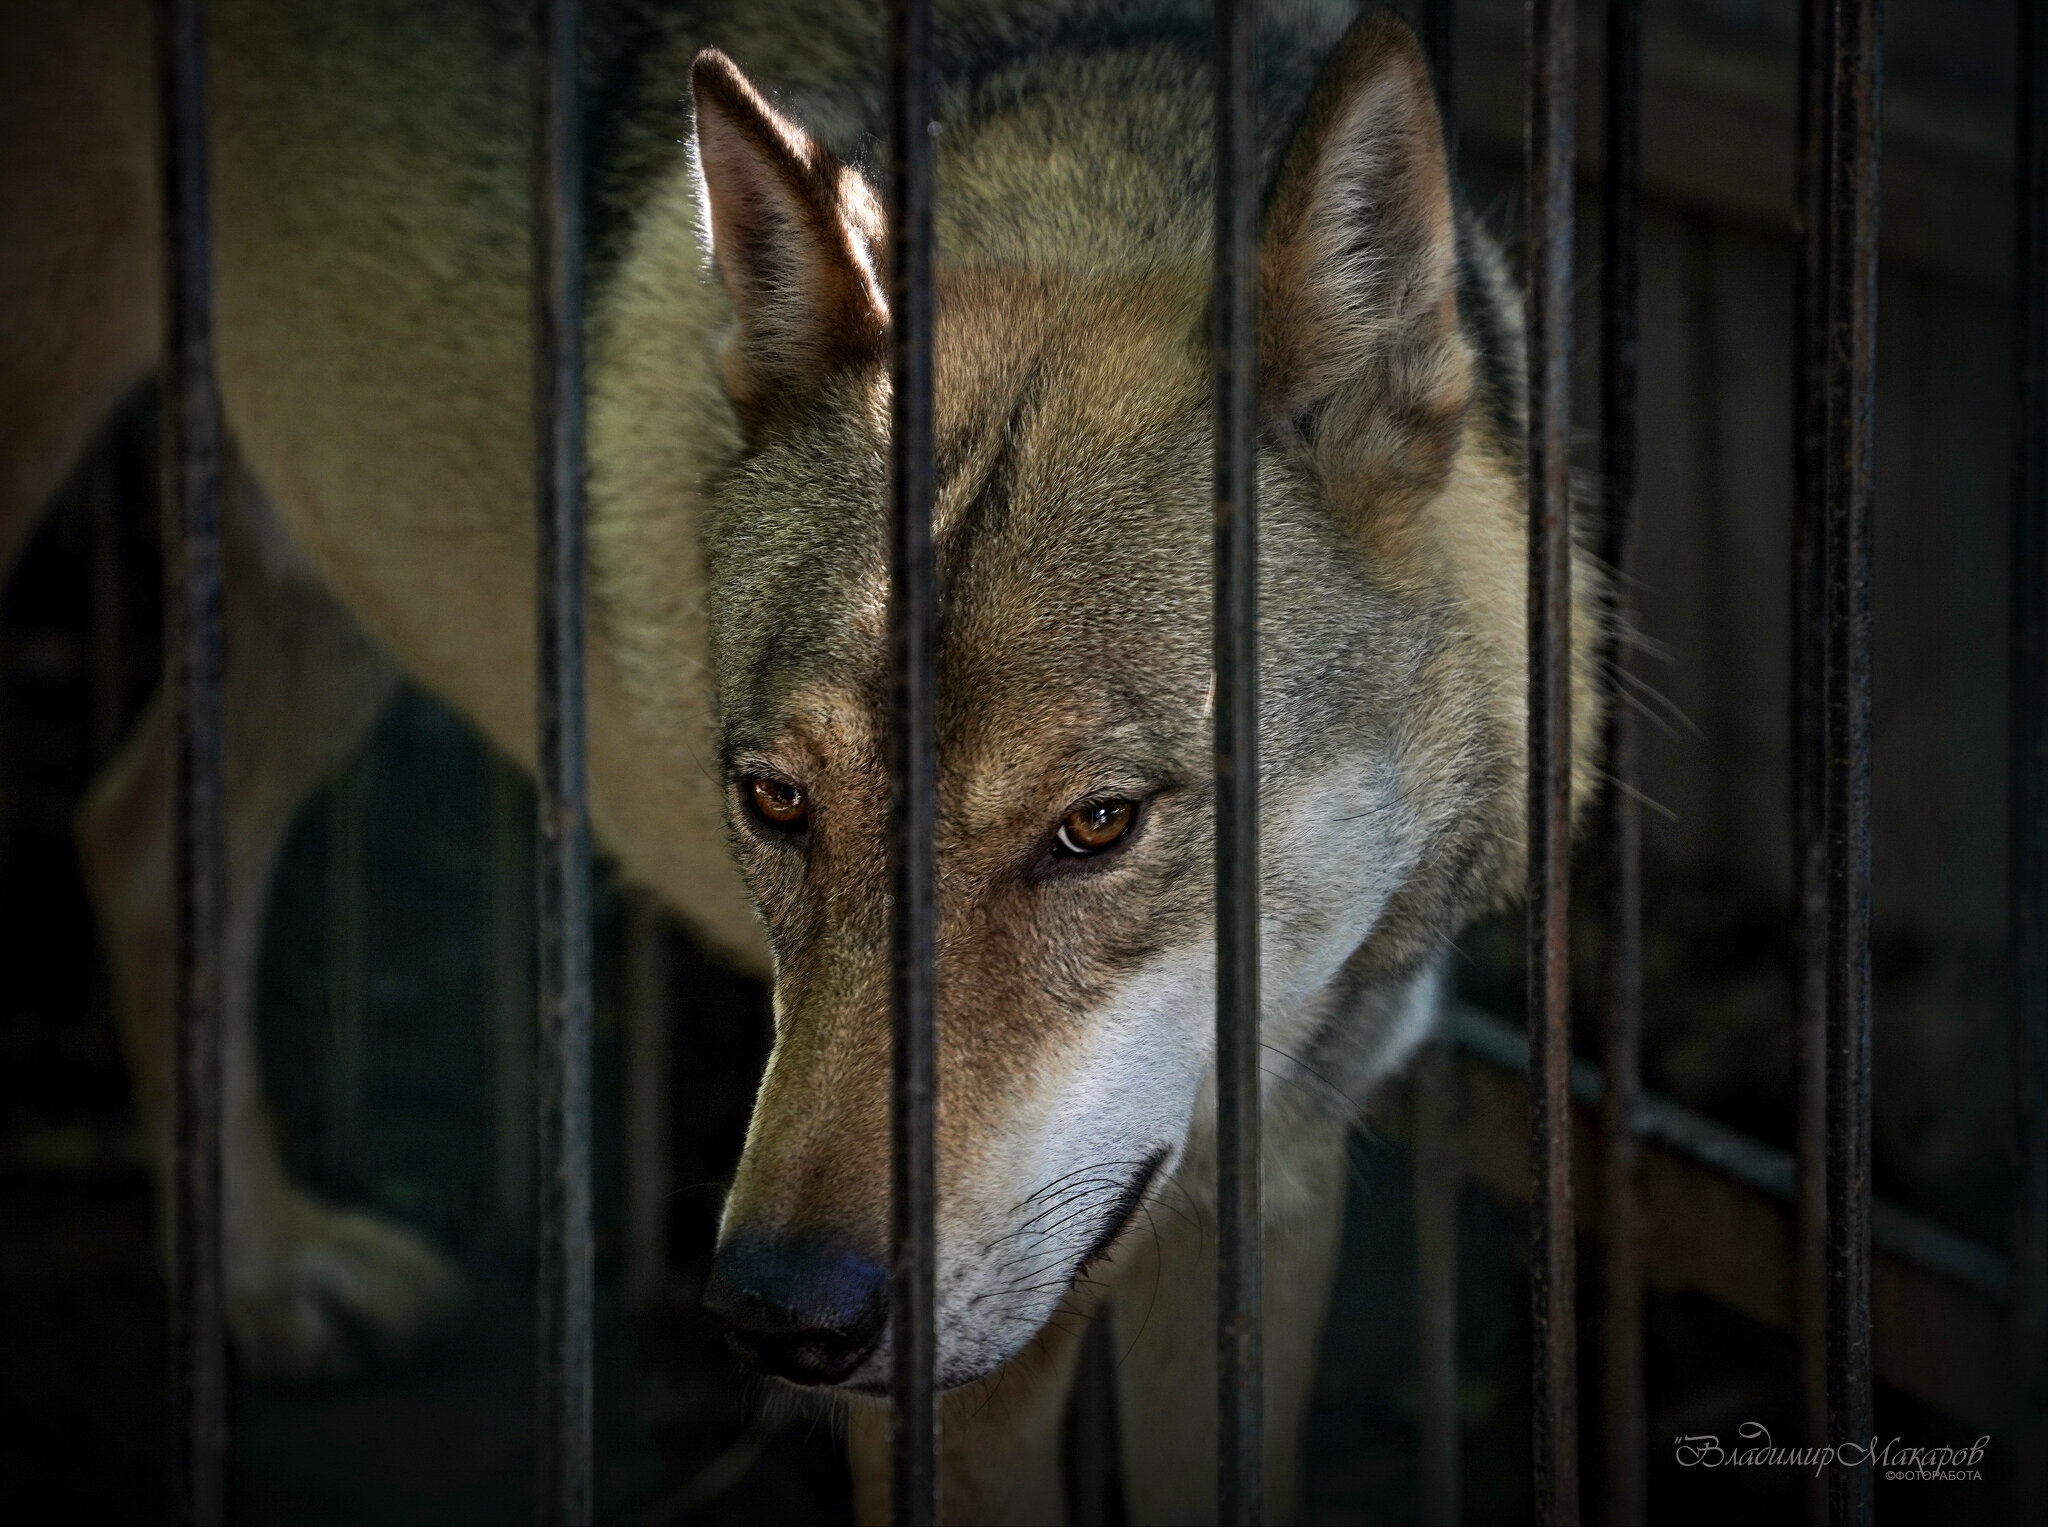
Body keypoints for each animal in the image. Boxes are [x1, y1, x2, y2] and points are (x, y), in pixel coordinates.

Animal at [1, 0, 1602, 1518]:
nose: (784, 1317)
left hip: (338, 576)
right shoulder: (965, 1395)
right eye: (773, 802)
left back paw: (269, 1279)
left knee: (130, 834)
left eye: (1096, 824)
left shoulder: (1268, 1217)